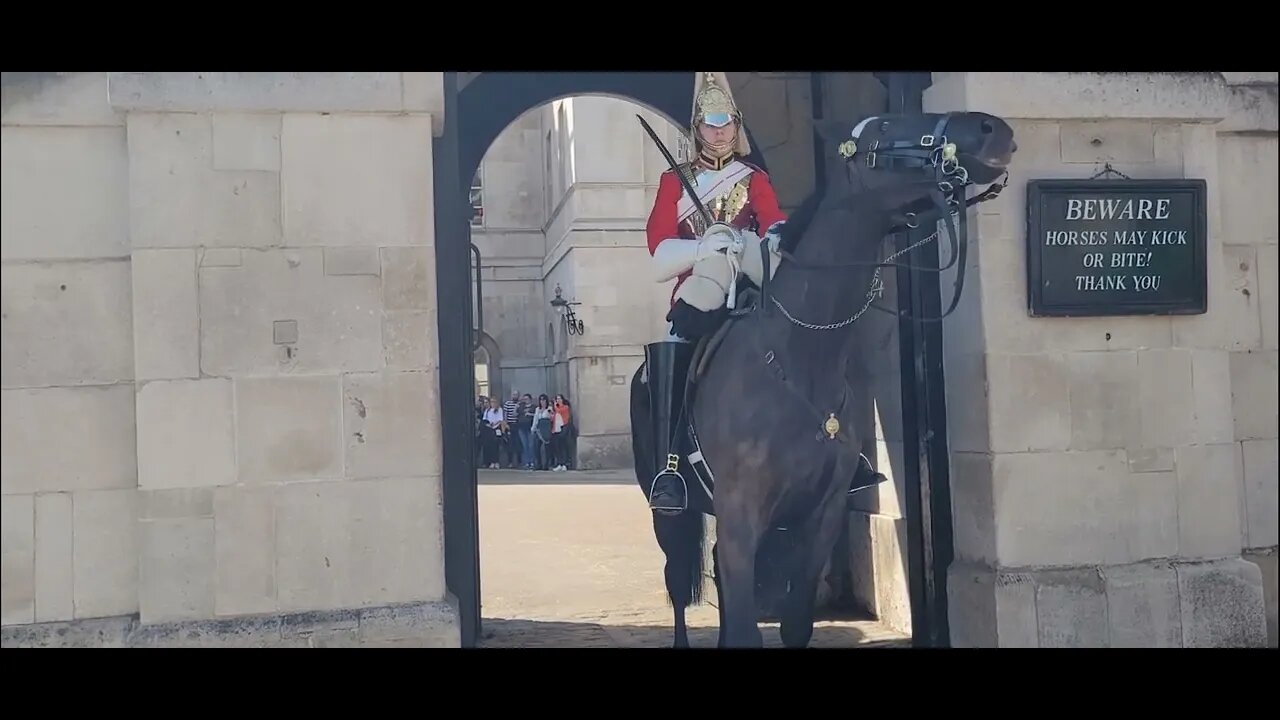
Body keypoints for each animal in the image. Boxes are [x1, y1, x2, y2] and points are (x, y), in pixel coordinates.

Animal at [629, 109, 1018, 648]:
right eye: (887, 126)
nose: (992, 129)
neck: (802, 355)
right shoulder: (741, 513)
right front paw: (721, 241)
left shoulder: (820, 516)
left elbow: (794, 623)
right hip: (669, 510)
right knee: (676, 579)